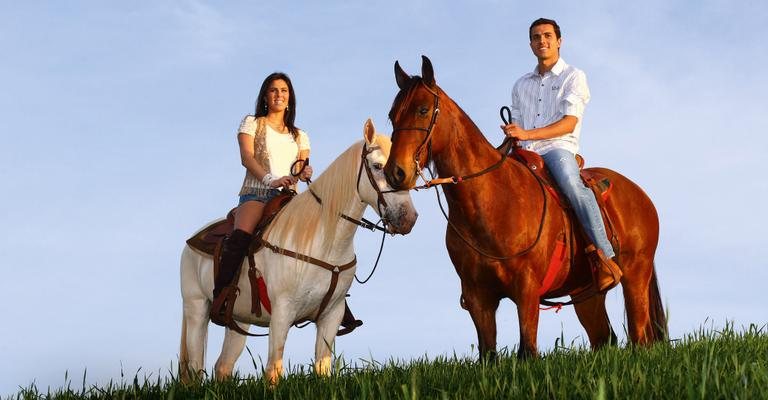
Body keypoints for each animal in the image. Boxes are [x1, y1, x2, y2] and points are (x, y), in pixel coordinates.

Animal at [178, 120, 416, 386]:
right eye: (377, 166)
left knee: (223, 366)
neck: (324, 242)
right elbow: (273, 370)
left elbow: (322, 368)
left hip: (238, 320)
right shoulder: (282, 312)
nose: (409, 218)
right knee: (195, 369)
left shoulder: (331, 315)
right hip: (196, 308)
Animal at [384, 56, 664, 360]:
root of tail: (640, 195)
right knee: (604, 337)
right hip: (586, 293)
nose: (395, 172)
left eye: (423, 110)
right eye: (392, 115)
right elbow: (488, 355)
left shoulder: (527, 289)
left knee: (640, 336)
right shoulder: (478, 296)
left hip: (635, 275)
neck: (491, 202)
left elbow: (527, 350)